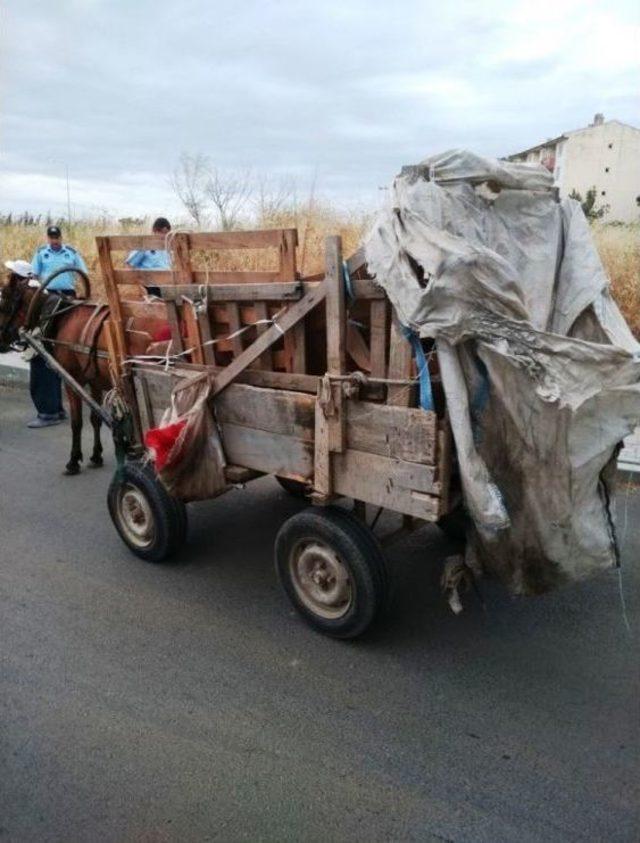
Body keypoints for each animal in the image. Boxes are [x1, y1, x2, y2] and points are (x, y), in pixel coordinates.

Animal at [0, 276, 168, 474]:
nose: (0, 342)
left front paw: (73, 460)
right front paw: (96, 455)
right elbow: (95, 419)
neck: (61, 316)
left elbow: (77, 422)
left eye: (4, 303)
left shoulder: (72, 380)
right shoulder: (94, 381)